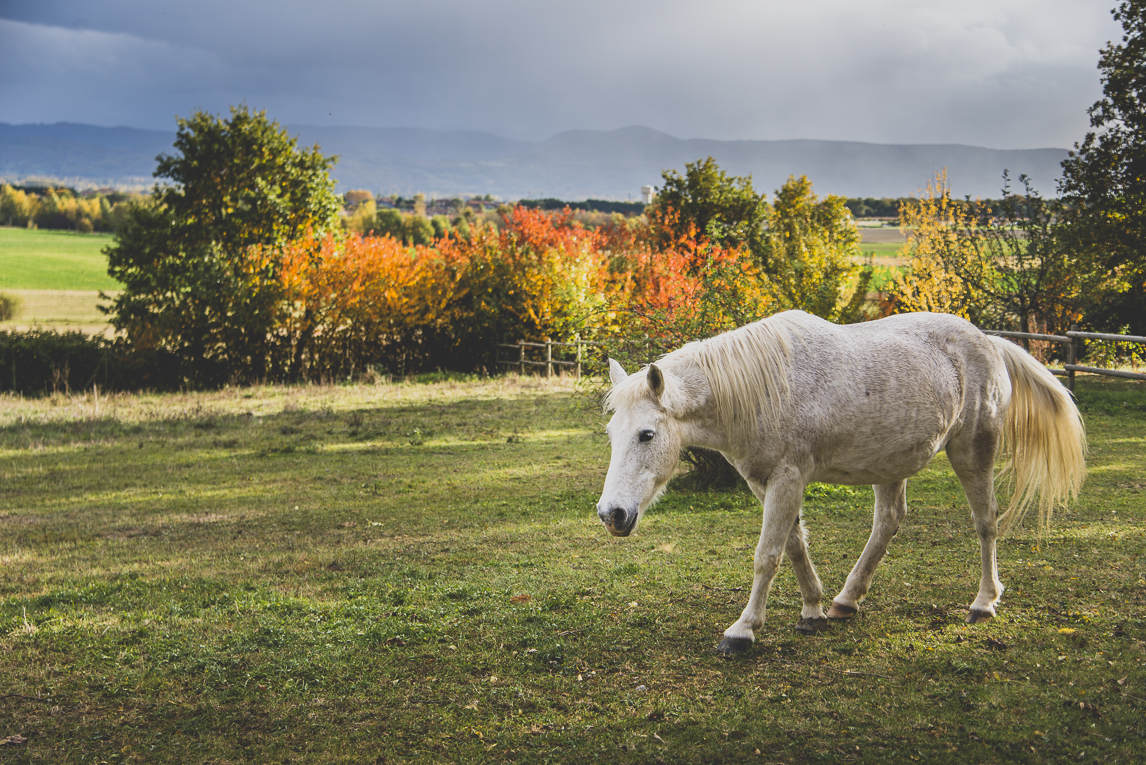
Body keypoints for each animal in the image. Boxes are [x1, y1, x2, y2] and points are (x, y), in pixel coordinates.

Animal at [595, 306, 1086, 655]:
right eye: (612, 433)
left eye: (646, 434)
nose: (611, 514)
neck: (765, 388)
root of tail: (988, 342)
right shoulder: (766, 482)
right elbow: (794, 545)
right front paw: (813, 609)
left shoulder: (788, 478)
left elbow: (767, 555)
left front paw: (743, 631)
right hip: (891, 464)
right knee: (888, 522)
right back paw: (846, 600)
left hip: (973, 453)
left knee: (986, 521)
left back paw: (984, 602)